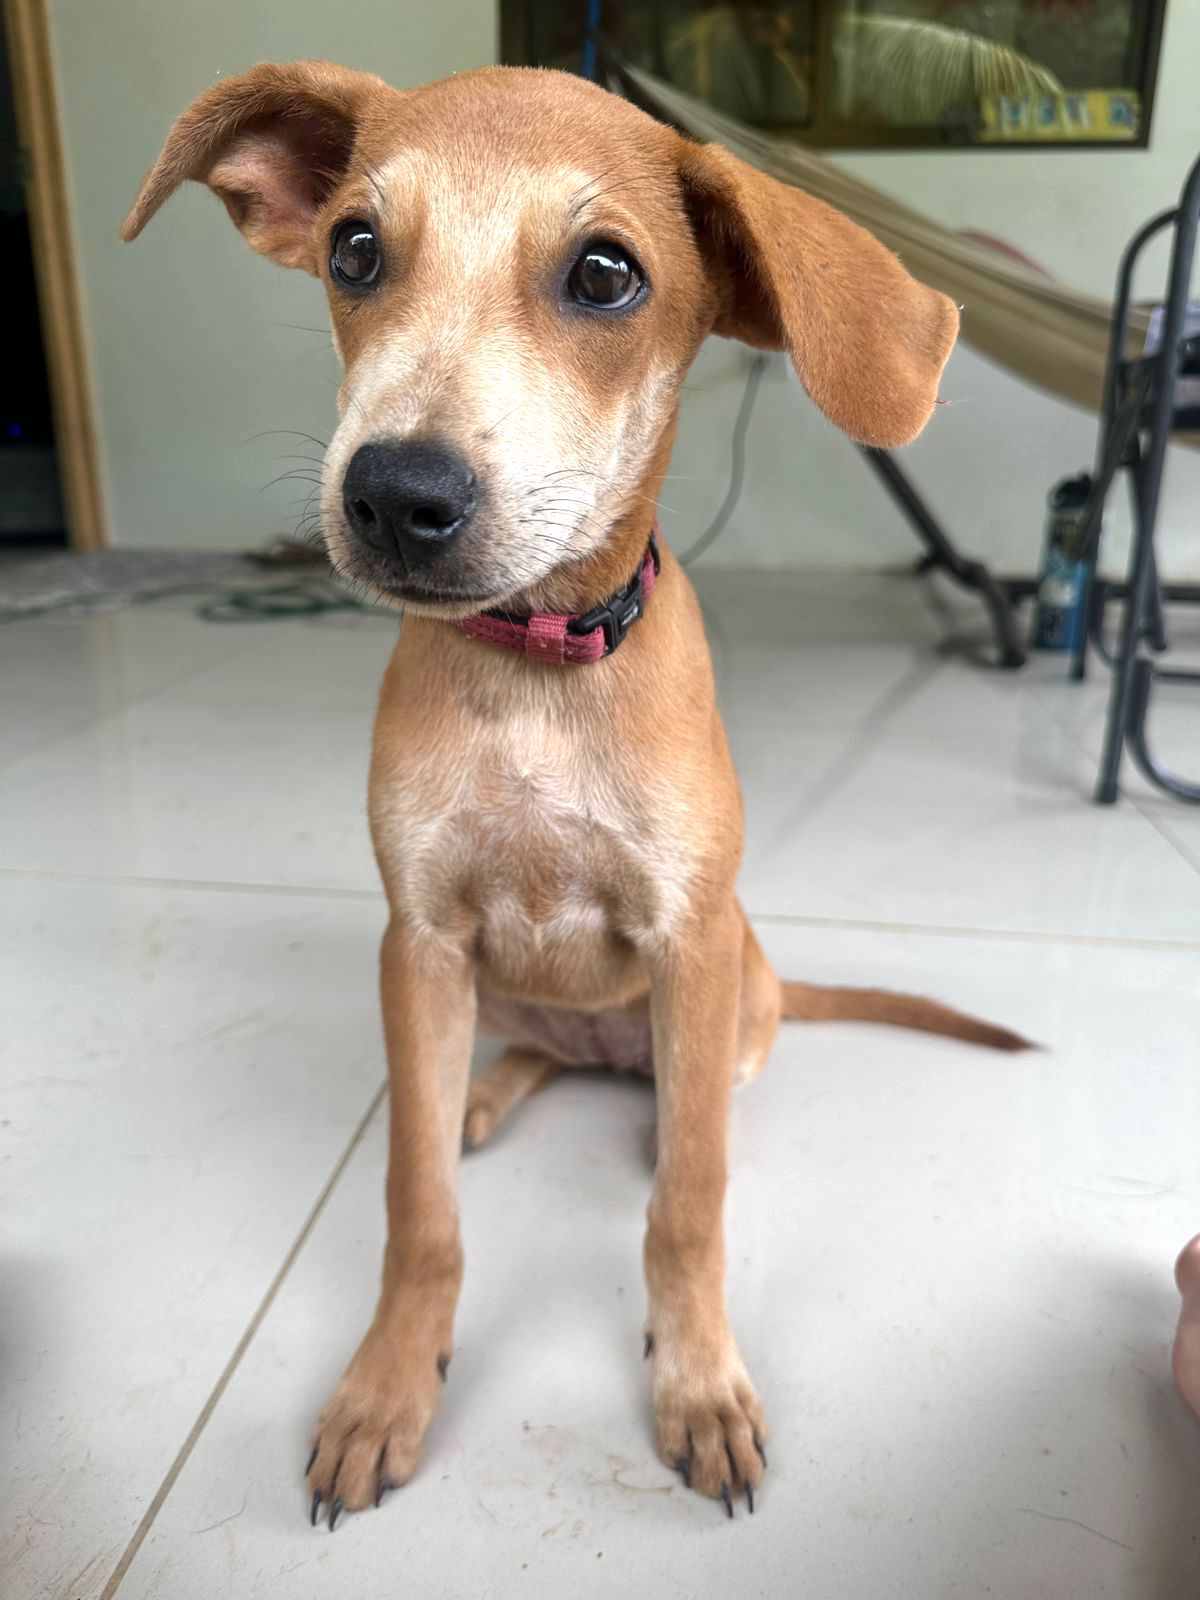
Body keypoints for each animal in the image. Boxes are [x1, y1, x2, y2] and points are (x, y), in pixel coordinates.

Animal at [122, 65, 1024, 1523]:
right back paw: (489, 1092)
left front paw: (698, 1381)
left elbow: (690, 1210)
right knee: (530, 1052)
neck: (537, 672)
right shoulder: (419, 942)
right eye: (353, 251)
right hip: (486, 989)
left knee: (691, 1107)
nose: (395, 496)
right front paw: (387, 1385)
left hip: (737, 988)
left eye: (605, 274)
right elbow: (418, 1206)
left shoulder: (689, 938)